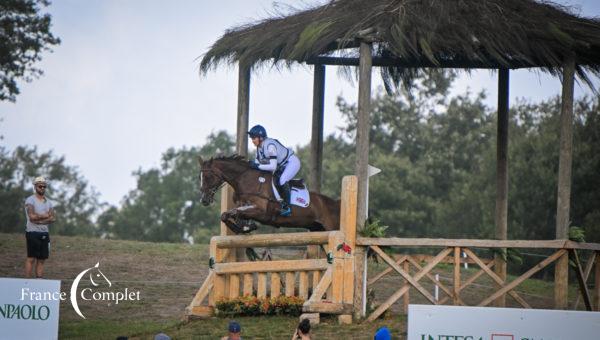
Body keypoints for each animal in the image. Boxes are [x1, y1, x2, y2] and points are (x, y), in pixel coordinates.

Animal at [199, 156, 340, 234]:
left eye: (207, 177)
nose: (204, 200)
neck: (245, 180)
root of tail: (337, 203)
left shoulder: (261, 210)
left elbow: (234, 212)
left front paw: (245, 228)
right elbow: (227, 215)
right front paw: (244, 227)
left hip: (331, 228)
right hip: (317, 228)